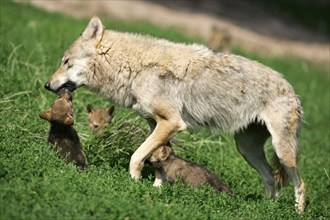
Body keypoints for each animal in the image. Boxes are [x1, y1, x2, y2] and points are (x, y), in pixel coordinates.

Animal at [44, 16, 306, 212]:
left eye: (66, 62)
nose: (47, 85)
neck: (135, 69)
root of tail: (292, 90)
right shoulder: (157, 125)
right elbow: (160, 160)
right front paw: (157, 189)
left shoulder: (171, 123)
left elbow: (136, 157)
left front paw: (134, 184)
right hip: (246, 149)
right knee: (271, 178)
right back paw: (265, 208)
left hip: (282, 153)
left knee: (300, 184)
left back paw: (296, 212)